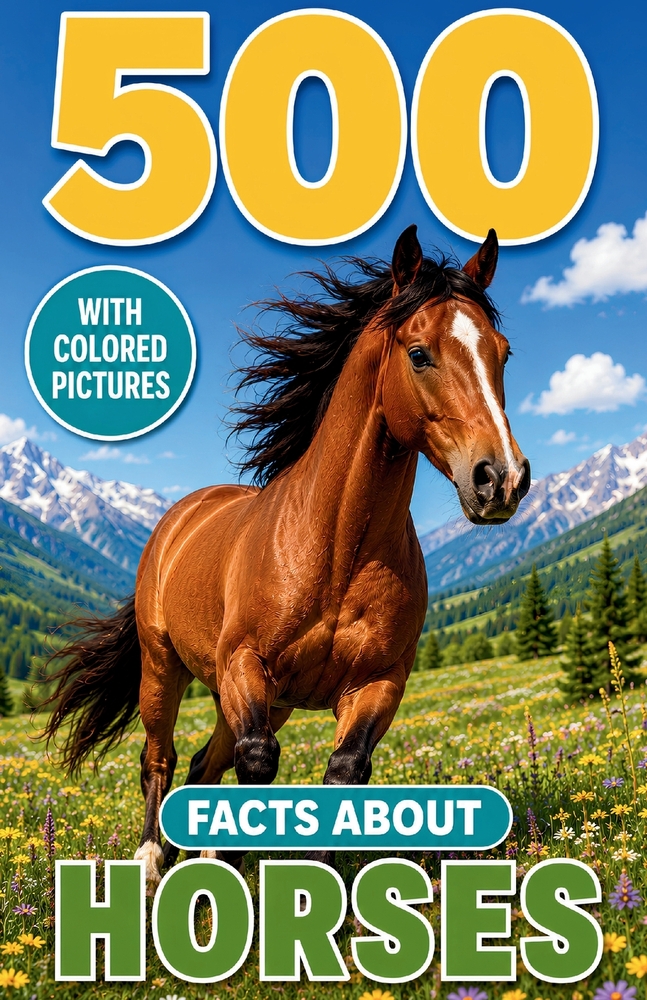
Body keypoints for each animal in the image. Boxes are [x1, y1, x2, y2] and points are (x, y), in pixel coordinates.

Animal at [43, 225, 530, 890]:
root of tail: (179, 518)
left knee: (203, 765)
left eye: (502, 354)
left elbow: (344, 773)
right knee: (161, 758)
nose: (501, 480)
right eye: (419, 353)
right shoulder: (246, 665)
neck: (335, 551)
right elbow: (256, 765)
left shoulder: (378, 683)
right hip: (166, 669)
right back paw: (151, 861)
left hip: (256, 700)